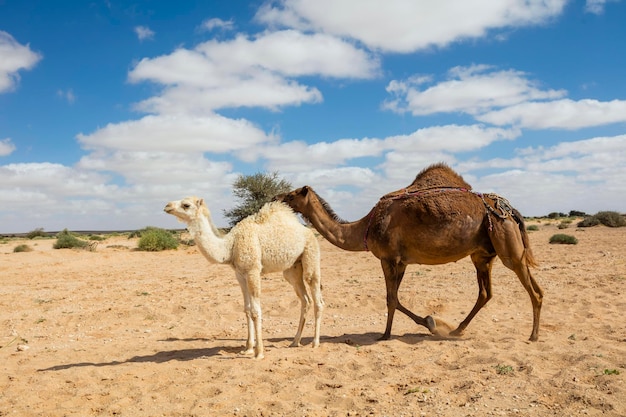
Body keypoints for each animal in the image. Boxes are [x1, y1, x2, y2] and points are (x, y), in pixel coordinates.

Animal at [276, 162, 544, 342]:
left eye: (291, 194)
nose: (277, 197)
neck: (365, 227)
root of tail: (511, 211)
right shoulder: (402, 261)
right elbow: (396, 297)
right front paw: (429, 322)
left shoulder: (387, 258)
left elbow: (391, 298)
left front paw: (387, 334)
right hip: (482, 254)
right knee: (487, 293)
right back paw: (457, 330)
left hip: (507, 245)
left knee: (532, 290)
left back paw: (532, 336)